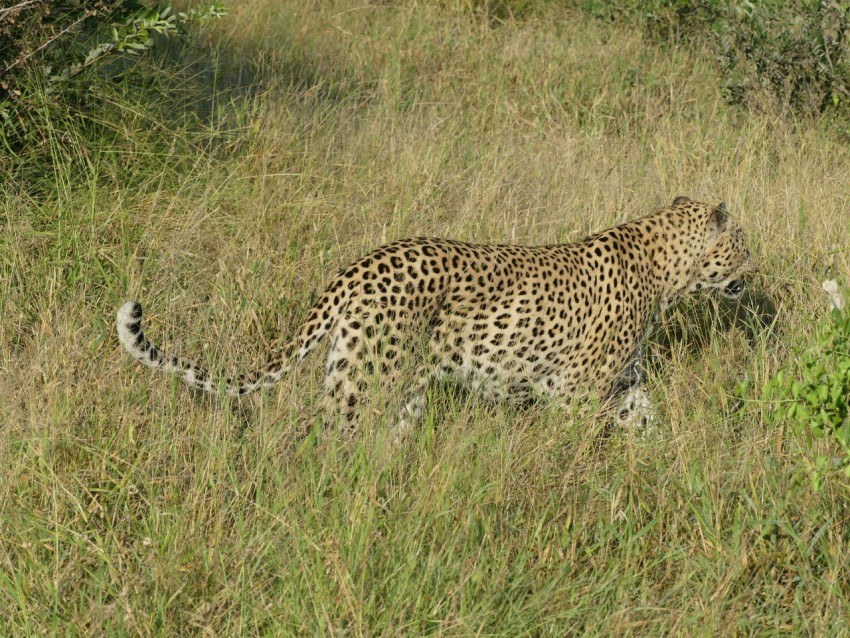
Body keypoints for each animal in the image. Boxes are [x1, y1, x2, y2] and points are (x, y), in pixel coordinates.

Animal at [117, 195, 748, 436]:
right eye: (741, 243)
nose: (756, 264)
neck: (666, 273)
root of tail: (362, 264)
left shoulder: (624, 383)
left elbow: (648, 417)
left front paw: (669, 462)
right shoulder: (572, 388)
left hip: (382, 380)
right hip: (367, 379)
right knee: (328, 436)